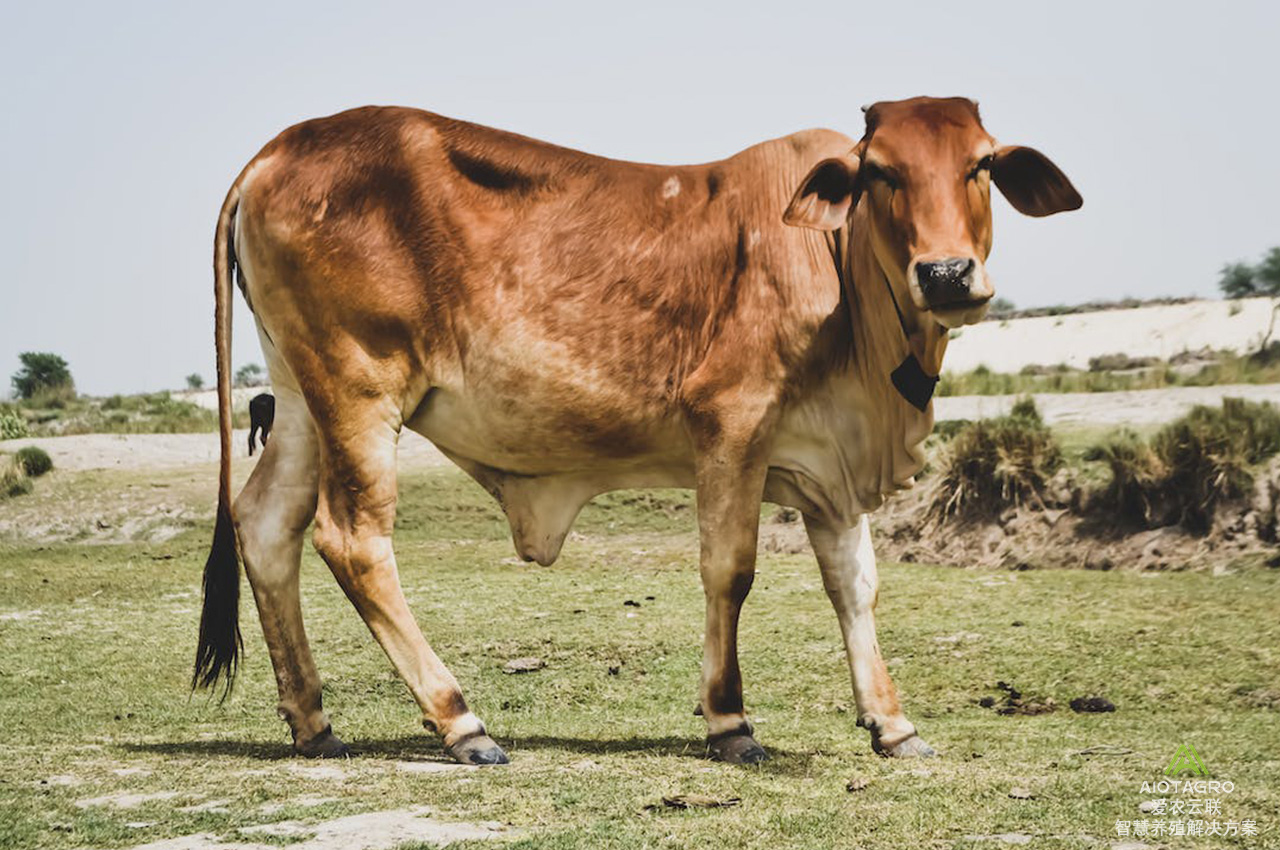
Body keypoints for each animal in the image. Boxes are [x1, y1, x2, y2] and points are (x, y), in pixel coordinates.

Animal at [192, 96, 1080, 768]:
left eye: (980, 165)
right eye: (881, 172)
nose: (947, 274)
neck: (838, 272)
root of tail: (275, 151)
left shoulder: (831, 468)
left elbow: (854, 585)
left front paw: (891, 725)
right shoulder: (732, 427)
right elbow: (730, 571)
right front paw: (730, 721)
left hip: (302, 400)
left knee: (267, 525)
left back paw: (313, 721)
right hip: (360, 392)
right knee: (354, 540)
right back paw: (461, 722)